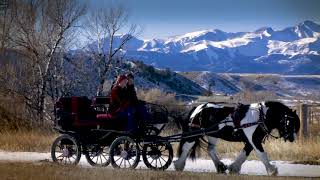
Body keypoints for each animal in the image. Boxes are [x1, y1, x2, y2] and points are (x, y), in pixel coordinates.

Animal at [172, 101, 300, 176]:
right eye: (290, 122)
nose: (292, 138)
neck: (260, 116)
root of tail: (197, 109)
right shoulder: (254, 140)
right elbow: (262, 154)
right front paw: (272, 170)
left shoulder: (251, 141)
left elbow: (244, 154)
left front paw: (234, 168)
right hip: (193, 134)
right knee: (186, 147)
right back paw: (179, 165)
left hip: (213, 135)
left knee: (210, 149)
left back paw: (220, 167)